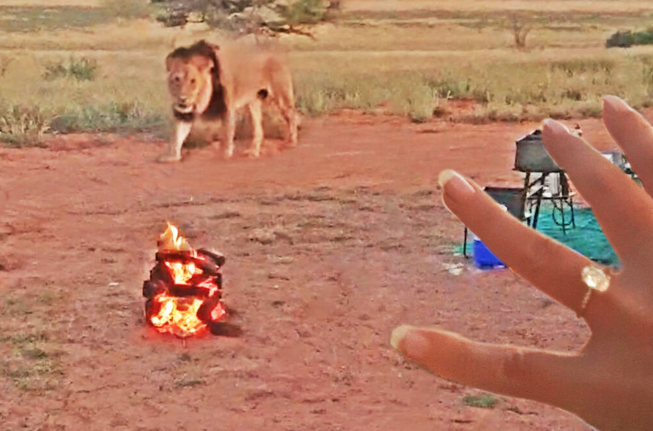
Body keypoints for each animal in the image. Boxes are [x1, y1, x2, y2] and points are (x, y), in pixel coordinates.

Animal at [158, 38, 300, 163]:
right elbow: (177, 135)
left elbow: (227, 134)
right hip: (254, 101)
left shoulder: (227, 107)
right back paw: (253, 151)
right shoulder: (184, 114)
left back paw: (292, 142)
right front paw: (172, 157)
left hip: (280, 94)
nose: (183, 99)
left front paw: (224, 155)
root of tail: (276, 48)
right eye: (177, 79)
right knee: (259, 128)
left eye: (193, 81)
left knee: (291, 115)